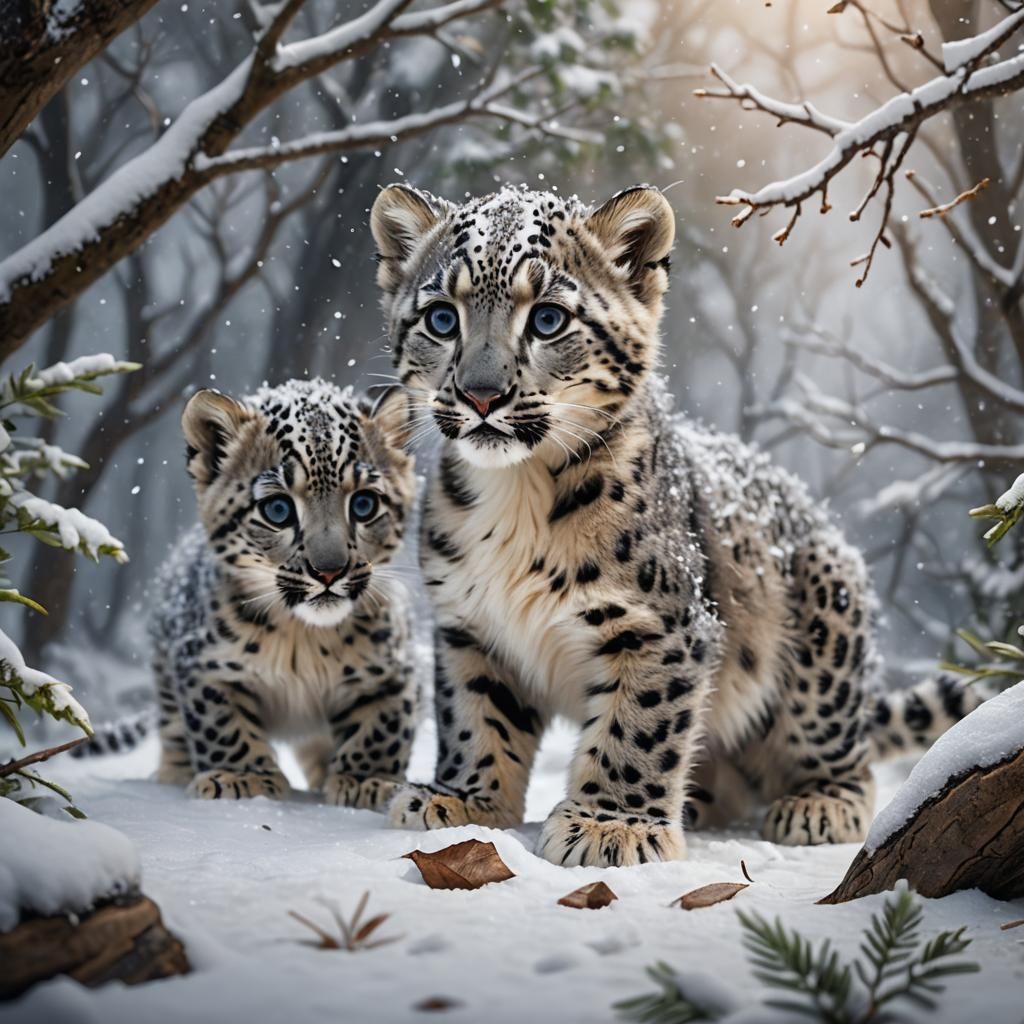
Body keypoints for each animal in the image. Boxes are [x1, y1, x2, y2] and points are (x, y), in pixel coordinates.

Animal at [147, 377, 418, 808]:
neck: (303, 639)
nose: (329, 571)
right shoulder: (204, 664)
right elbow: (222, 724)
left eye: (363, 503)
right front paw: (241, 777)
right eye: (277, 509)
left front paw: (367, 781)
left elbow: (382, 726)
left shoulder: (392, 669)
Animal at [368, 181, 986, 867]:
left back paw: (818, 805)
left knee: (839, 749)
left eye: (548, 318)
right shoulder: (469, 626)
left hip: (826, 633)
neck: (516, 493)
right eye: (441, 318)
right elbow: (478, 716)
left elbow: (638, 723)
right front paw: (465, 799)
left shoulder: (658, 624)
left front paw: (613, 825)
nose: (481, 394)